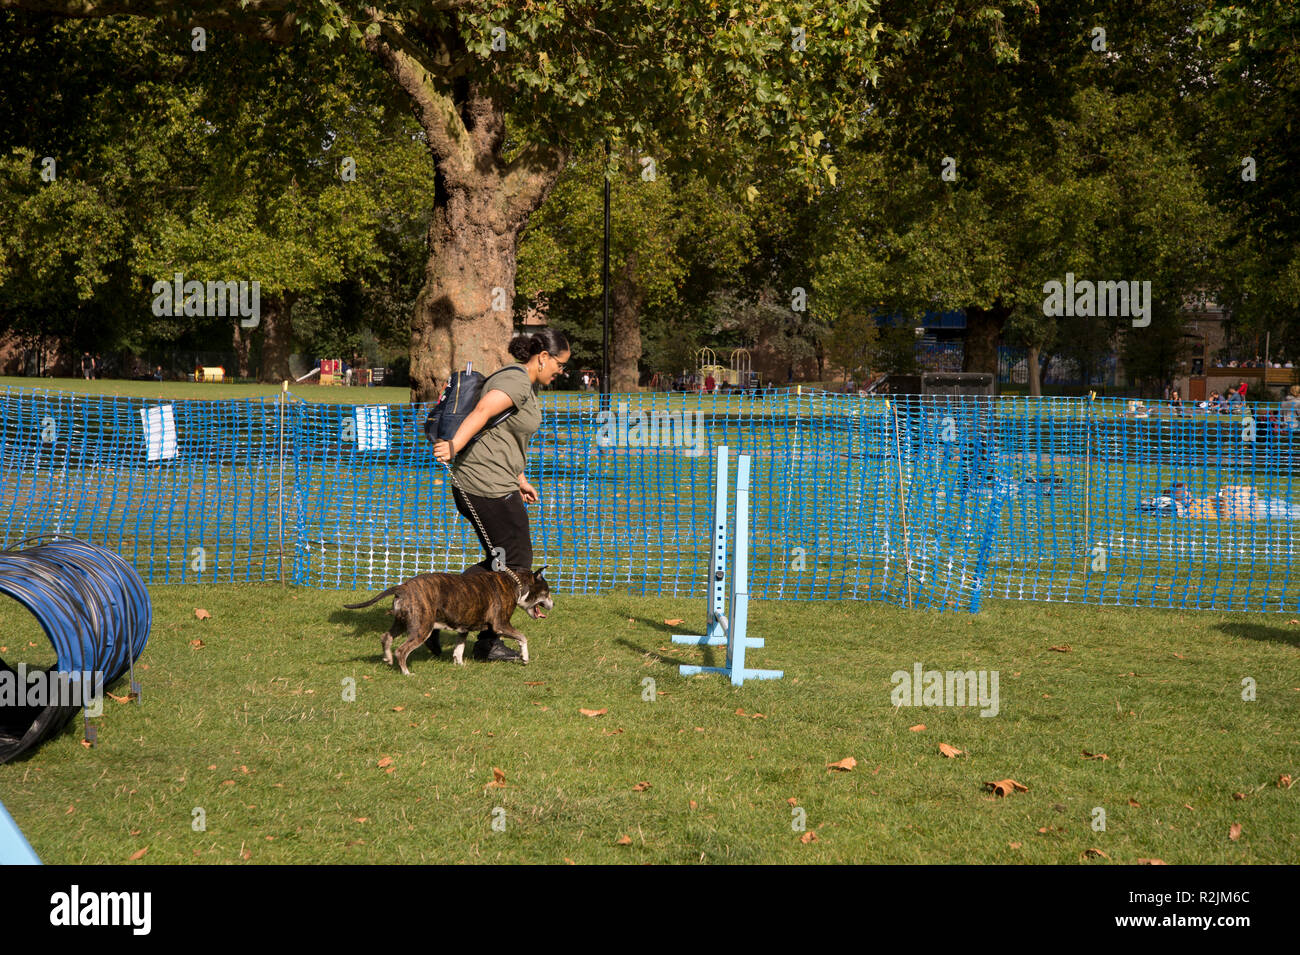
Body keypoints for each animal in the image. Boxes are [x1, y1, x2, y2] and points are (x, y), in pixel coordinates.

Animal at [343, 566, 551, 670]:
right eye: (547, 592)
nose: (552, 603)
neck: (516, 583)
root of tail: (403, 587)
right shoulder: (501, 625)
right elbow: (523, 638)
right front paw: (524, 657)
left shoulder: (463, 629)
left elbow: (459, 649)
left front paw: (460, 665)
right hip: (422, 628)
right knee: (401, 651)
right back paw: (406, 672)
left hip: (402, 623)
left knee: (386, 637)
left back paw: (387, 658)